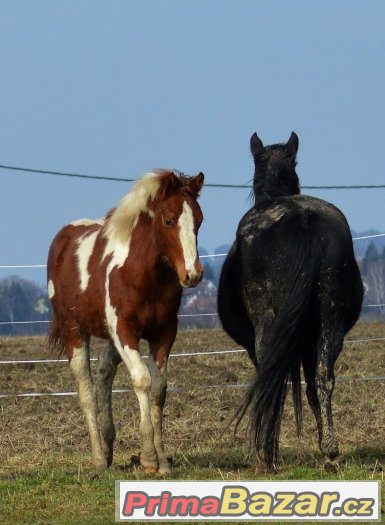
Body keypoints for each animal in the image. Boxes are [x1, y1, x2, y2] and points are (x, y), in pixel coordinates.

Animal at [47, 170, 204, 472]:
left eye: (199, 221)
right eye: (169, 220)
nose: (193, 274)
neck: (142, 274)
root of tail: (64, 238)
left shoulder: (164, 333)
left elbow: (158, 388)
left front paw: (162, 461)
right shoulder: (124, 330)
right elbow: (141, 380)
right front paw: (148, 458)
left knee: (104, 371)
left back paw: (109, 447)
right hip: (75, 330)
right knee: (86, 388)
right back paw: (98, 459)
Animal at [218, 131, 362, 470]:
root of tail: (302, 217)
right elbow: (310, 388)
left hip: (267, 324)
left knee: (272, 379)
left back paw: (265, 454)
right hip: (329, 321)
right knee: (324, 377)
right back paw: (331, 450)